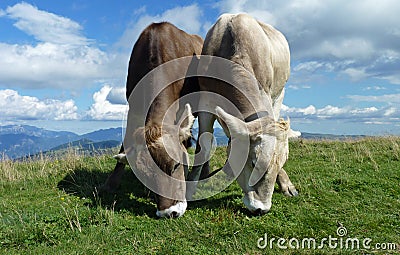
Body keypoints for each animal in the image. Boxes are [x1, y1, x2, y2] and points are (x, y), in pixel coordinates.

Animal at [191, 12, 300, 214]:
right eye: (253, 163)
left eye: (283, 163)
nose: (261, 209)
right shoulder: (205, 101)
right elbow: (204, 145)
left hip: (280, 93)